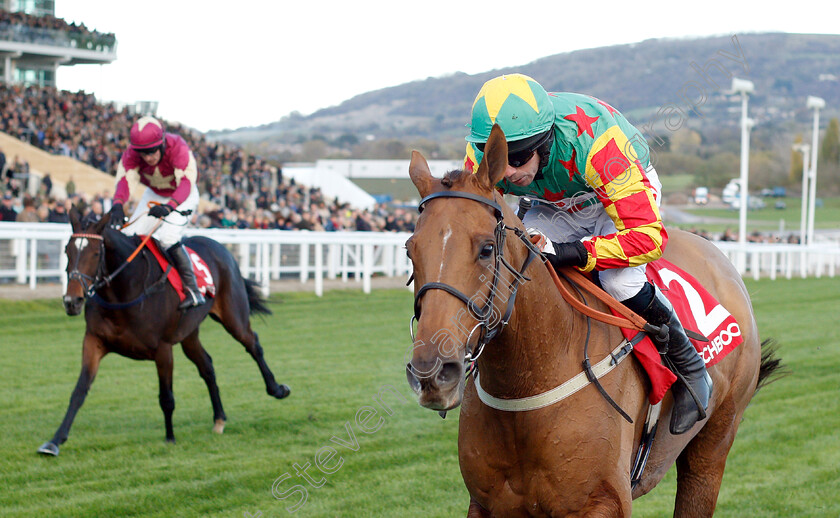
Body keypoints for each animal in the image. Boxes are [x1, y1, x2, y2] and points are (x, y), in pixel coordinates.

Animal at [37, 209, 290, 458]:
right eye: (67, 250)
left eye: (96, 253)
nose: (72, 301)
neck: (125, 290)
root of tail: (220, 247)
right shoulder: (94, 341)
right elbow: (79, 391)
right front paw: (54, 442)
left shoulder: (163, 348)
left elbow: (166, 397)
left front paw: (170, 437)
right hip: (189, 334)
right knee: (207, 366)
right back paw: (219, 419)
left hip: (233, 316)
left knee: (253, 344)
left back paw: (277, 389)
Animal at [404, 125, 776, 516]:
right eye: (410, 249)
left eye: (486, 249)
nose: (432, 373)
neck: (529, 377)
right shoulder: (486, 503)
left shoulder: (603, 501)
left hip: (712, 448)